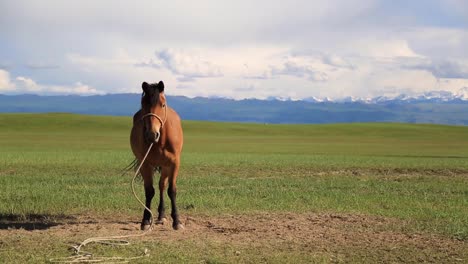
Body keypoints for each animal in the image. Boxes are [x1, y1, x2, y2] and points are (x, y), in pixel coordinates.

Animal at [131, 81, 186, 230]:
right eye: (143, 104)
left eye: (162, 104)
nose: (152, 134)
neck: (160, 141)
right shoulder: (145, 164)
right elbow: (149, 191)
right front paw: (145, 220)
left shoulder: (174, 163)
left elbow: (171, 190)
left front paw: (177, 221)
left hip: (165, 166)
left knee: (162, 185)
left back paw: (162, 215)